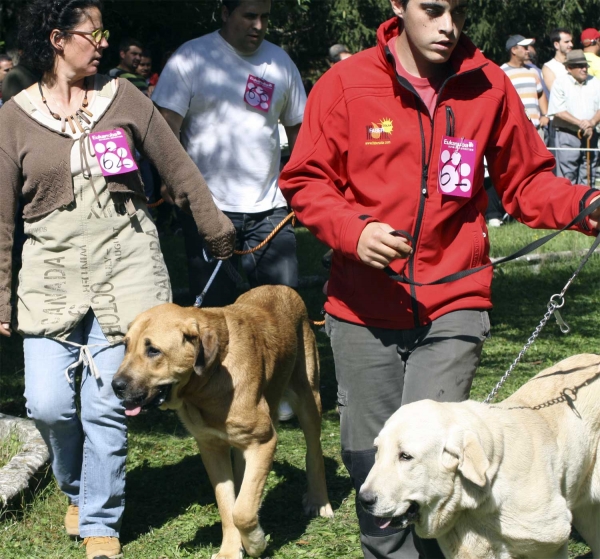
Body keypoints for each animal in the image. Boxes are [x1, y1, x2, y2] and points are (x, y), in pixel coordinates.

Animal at [112, 286, 332, 556]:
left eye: (153, 350)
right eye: (125, 346)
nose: (116, 386)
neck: (210, 376)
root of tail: (281, 287)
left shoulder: (264, 442)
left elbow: (243, 511)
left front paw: (256, 543)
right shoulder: (211, 448)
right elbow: (228, 506)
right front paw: (230, 550)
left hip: (308, 397)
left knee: (314, 453)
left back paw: (319, 501)